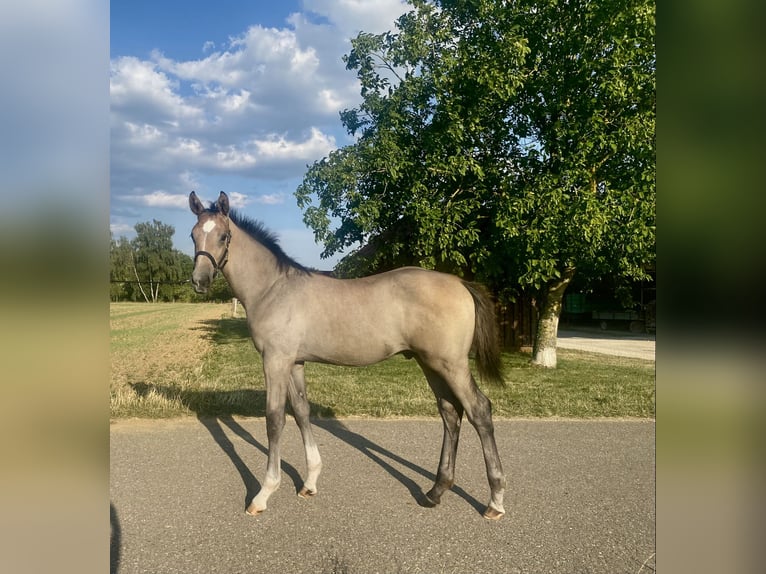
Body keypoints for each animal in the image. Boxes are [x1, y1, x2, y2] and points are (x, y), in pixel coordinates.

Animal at [189, 191, 506, 520]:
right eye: (193, 235)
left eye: (223, 236)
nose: (200, 281)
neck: (274, 289)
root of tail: (460, 283)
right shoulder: (295, 362)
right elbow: (301, 412)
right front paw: (310, 482)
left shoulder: (275, 361)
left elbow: (274, 419)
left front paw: (264, 493)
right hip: (430, 363)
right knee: (450, 413)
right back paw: (435, 491)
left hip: (451, 365)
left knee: (479, 410)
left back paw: (495, 500)